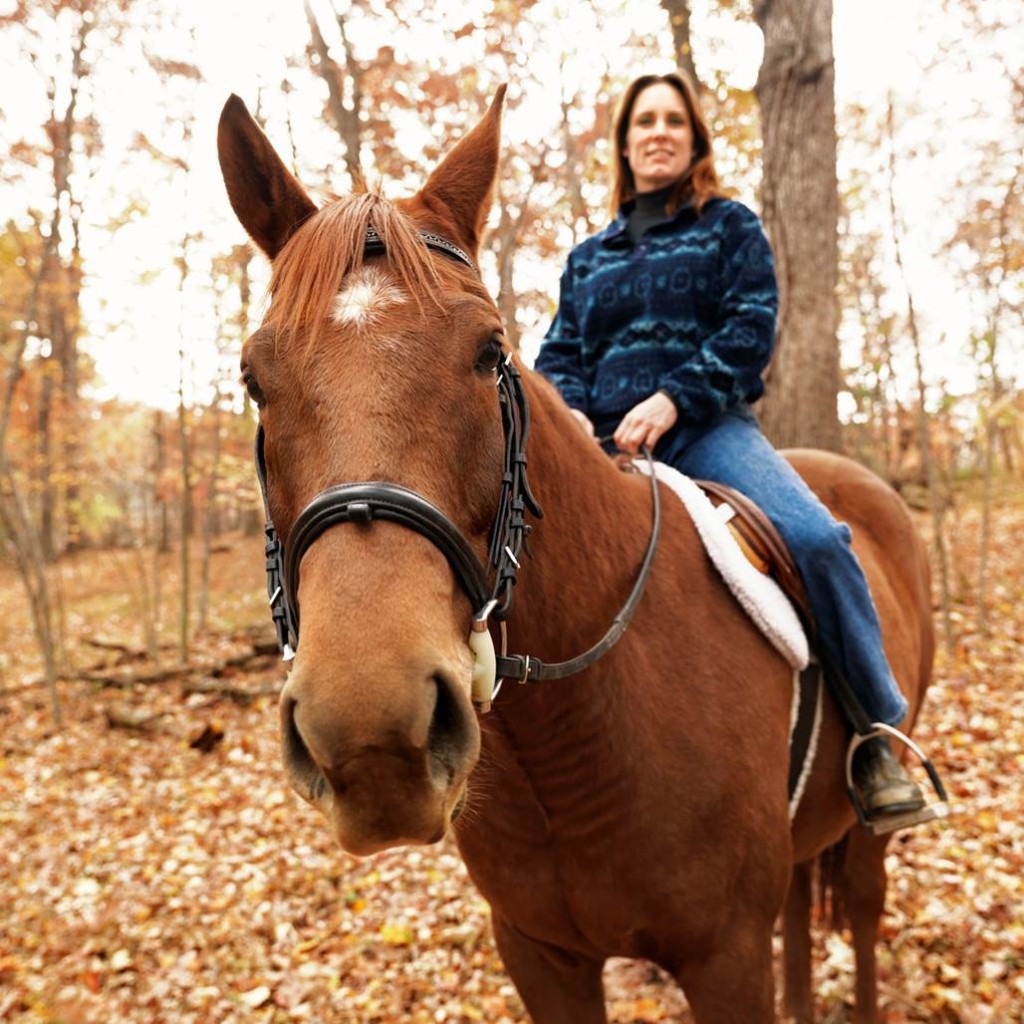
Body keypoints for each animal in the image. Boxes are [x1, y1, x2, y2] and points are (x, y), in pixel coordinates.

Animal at [218, 90, 937, 1024]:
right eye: (252, 380)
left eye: (490, 351)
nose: (373, 734)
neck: (569, 743)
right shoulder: (539, 953)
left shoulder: (725, 957)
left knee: (858, 907)